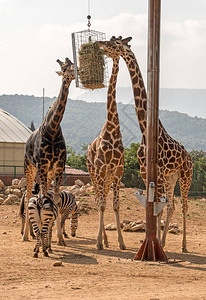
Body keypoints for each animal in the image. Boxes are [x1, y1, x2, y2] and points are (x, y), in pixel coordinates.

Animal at [22, 57, 75, 245]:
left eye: (73, 65)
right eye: (64, 68)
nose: (72, 74)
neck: (53, 129)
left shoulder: (59, 165)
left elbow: (56, 199)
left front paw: (58, 238)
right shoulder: (43, 164)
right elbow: (43, 196)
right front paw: (45, 238)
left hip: (47, 170)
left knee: (41, 194)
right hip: (30, 167)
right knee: (29, 194)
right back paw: (25, 235)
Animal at [97, 37, 193, 253]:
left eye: (115, 43)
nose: (99, 44)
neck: (144, 130)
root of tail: (190, 156)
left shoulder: (158, 172)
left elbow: (157, 208)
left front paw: (154, 245)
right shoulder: (145, 171)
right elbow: (153, 206)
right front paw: (154, 242)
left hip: (186, 175)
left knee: (184, 206)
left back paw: (183, 245)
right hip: (171, 177)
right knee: (172, 205)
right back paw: (164, 242)